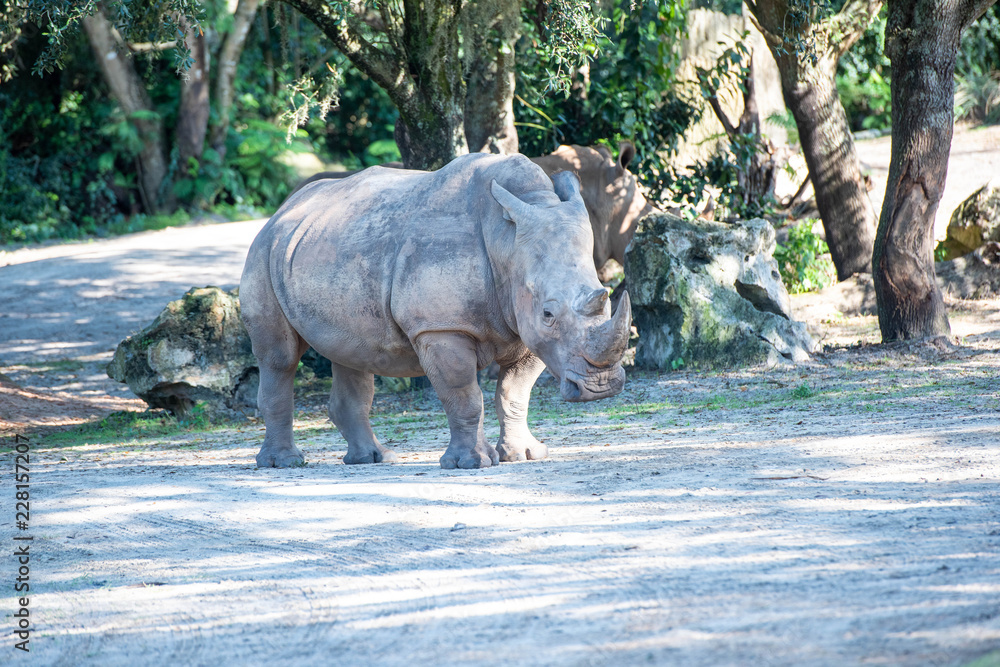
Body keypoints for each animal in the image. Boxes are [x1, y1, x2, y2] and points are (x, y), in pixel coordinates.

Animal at [240, 153, 632, 469]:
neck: (506, 243)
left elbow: (514, 394)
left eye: (605, 298)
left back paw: (373, 458)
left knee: (351, 354)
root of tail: (283, 209)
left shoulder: (527, 330)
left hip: (325, 243)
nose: (601, 387)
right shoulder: (441, 327)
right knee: (279, 358)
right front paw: (471, 464)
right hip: (262, 252)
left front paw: (525, 455)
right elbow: (465, 395)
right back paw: (284, 463)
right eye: (549, 313)